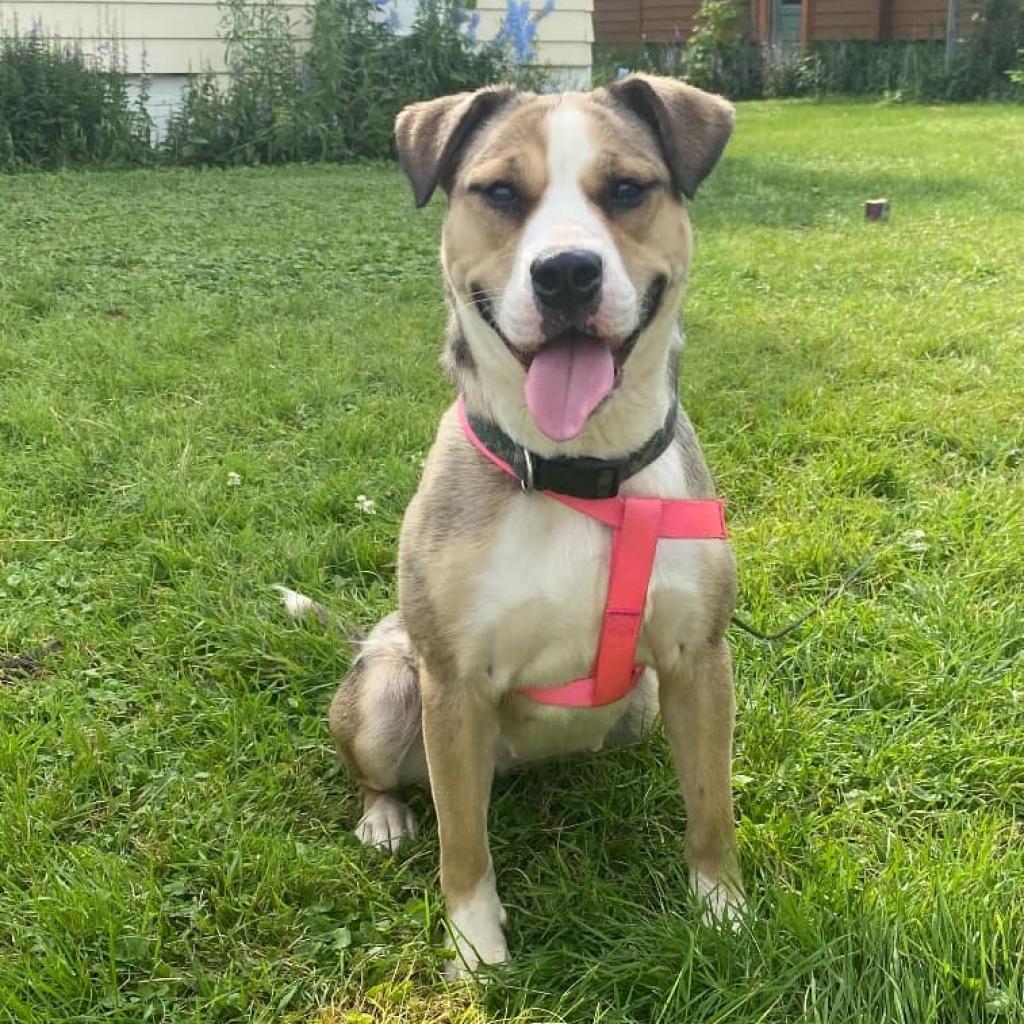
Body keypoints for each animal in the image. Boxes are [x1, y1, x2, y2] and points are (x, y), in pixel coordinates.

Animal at [284, 74, 741, 974]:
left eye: (626, 189)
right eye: (499, 193)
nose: (565, 272)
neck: (577, 471)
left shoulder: (698, 660)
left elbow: (711, 807)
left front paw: (724, 912)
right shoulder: (454, 685)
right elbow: (463, 839)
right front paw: (477, 947)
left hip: (639, 704)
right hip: (389, 689)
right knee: (383, 773)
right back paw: (384, 816)